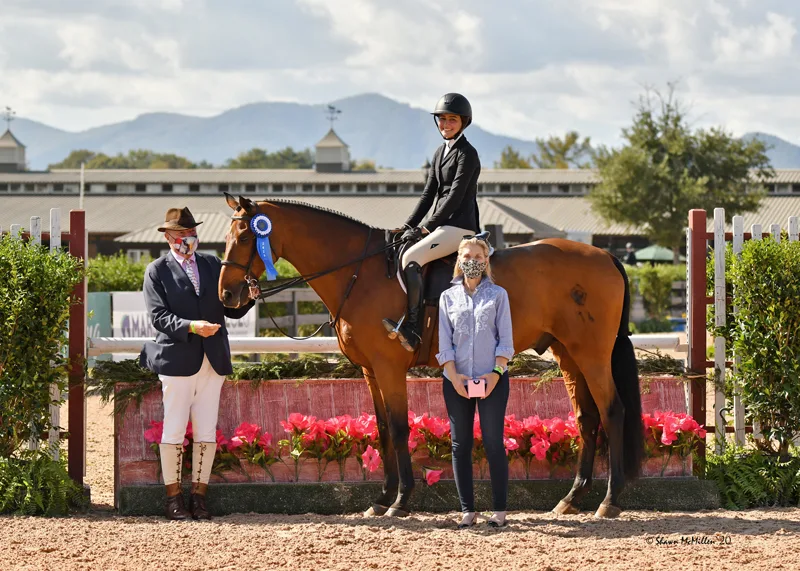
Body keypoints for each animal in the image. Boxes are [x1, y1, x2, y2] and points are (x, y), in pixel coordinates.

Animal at [217, 194, 644, 520]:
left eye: (245, 236)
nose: (227, 296)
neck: (359, 273)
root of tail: (605, 255)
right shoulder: (370, 370)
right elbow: (382, 430)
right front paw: (381, 500)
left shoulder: (389, 367)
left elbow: (399, 427)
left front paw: (401, 502)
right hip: (568, 353)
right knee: (587, 417)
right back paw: (571, 499)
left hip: (592, 353)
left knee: (612, 411)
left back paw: (609, 502)